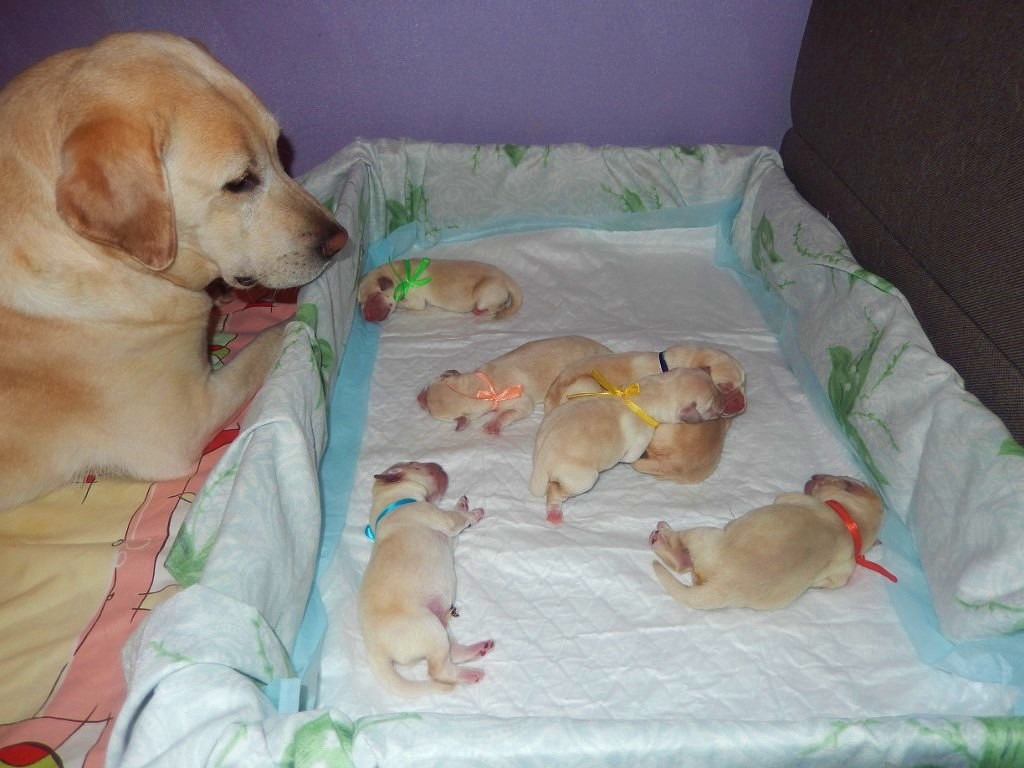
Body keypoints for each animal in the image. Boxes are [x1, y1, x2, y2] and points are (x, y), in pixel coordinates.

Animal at [0, 33, 348, 512]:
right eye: (239, 182)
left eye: (280, 152)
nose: (340, 240)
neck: (99, 254)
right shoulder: (184, 422)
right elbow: (261, 344)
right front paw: (294, 325)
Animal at [358, 256, 520, 321]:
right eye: (360, 304)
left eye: (373, 297)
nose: (366, 316)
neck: (397, 275)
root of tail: (507, 278)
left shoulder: (416, 303)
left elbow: (401, 304)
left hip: (483, 295)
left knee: (497, 308)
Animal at [360, 460, 495, 700]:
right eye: (415, 464)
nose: (439, 464)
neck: (392, 503)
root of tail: (374, 650)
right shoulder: (443, 519)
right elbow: (457, 518)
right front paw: (473, 513)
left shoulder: (450, 539)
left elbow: (456, 529)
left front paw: (462, 503)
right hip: (430, 629)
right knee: (438, 671)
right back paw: (469, 674)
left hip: (440, 624)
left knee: (454, 653)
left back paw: (476, 649)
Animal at [415, 335, 606, 436]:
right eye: (426, 388)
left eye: (429, 411)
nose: (418, 398)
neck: (483, 387)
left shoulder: (520, 400)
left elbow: (512, 411)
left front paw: (494, 424)